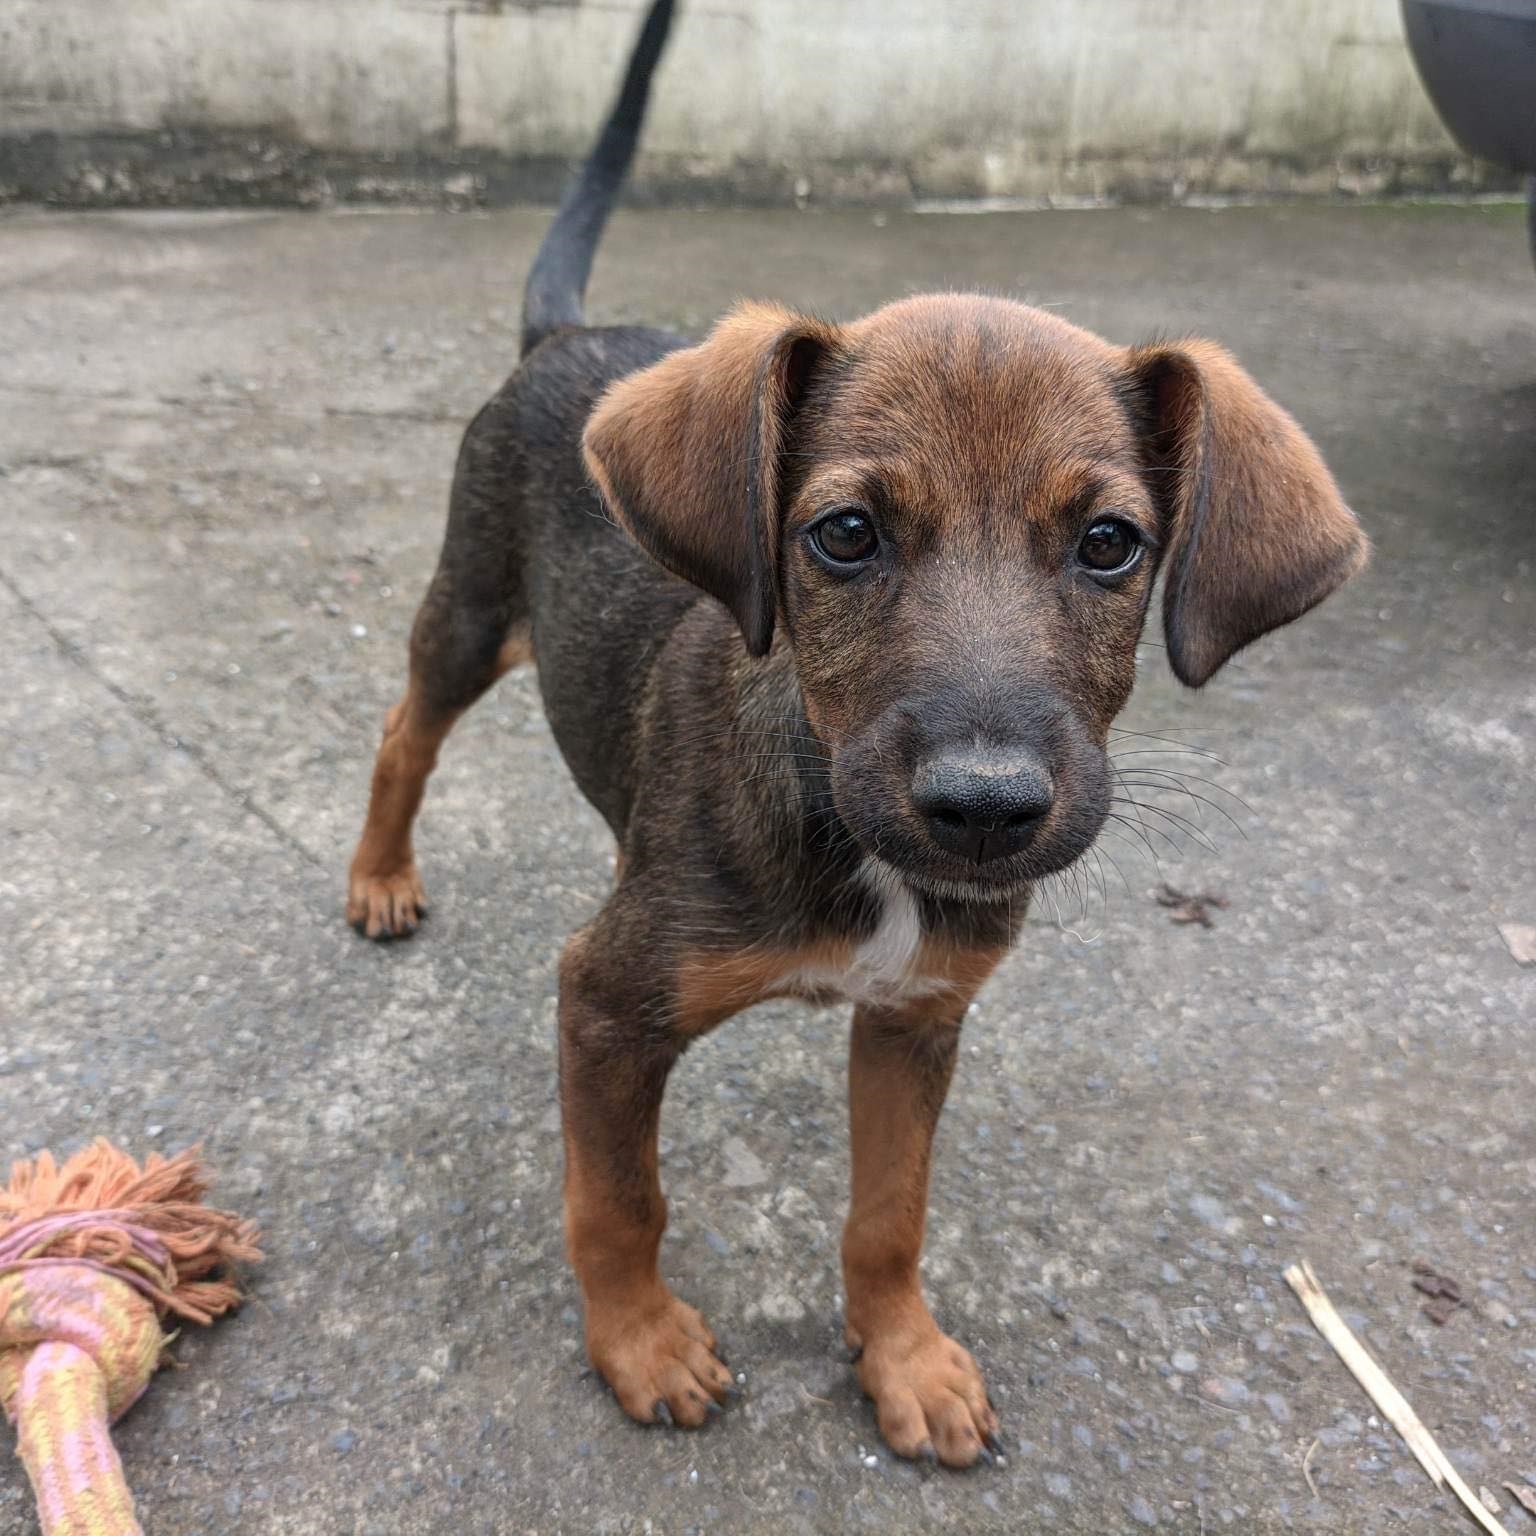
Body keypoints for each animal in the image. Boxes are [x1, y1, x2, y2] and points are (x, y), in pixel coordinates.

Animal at [345, 0, 1370, 1462]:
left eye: (1112, 545)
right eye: (843, 533)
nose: (985, 810)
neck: (843, 824)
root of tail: (566, 337)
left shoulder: (919, 1016)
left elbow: (891, 1214)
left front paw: (905, 1360)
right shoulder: (605, 1000)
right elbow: (619, 1198)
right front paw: (639, 1343)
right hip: (471, 612)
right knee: (402, 730)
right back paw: (379, 876)